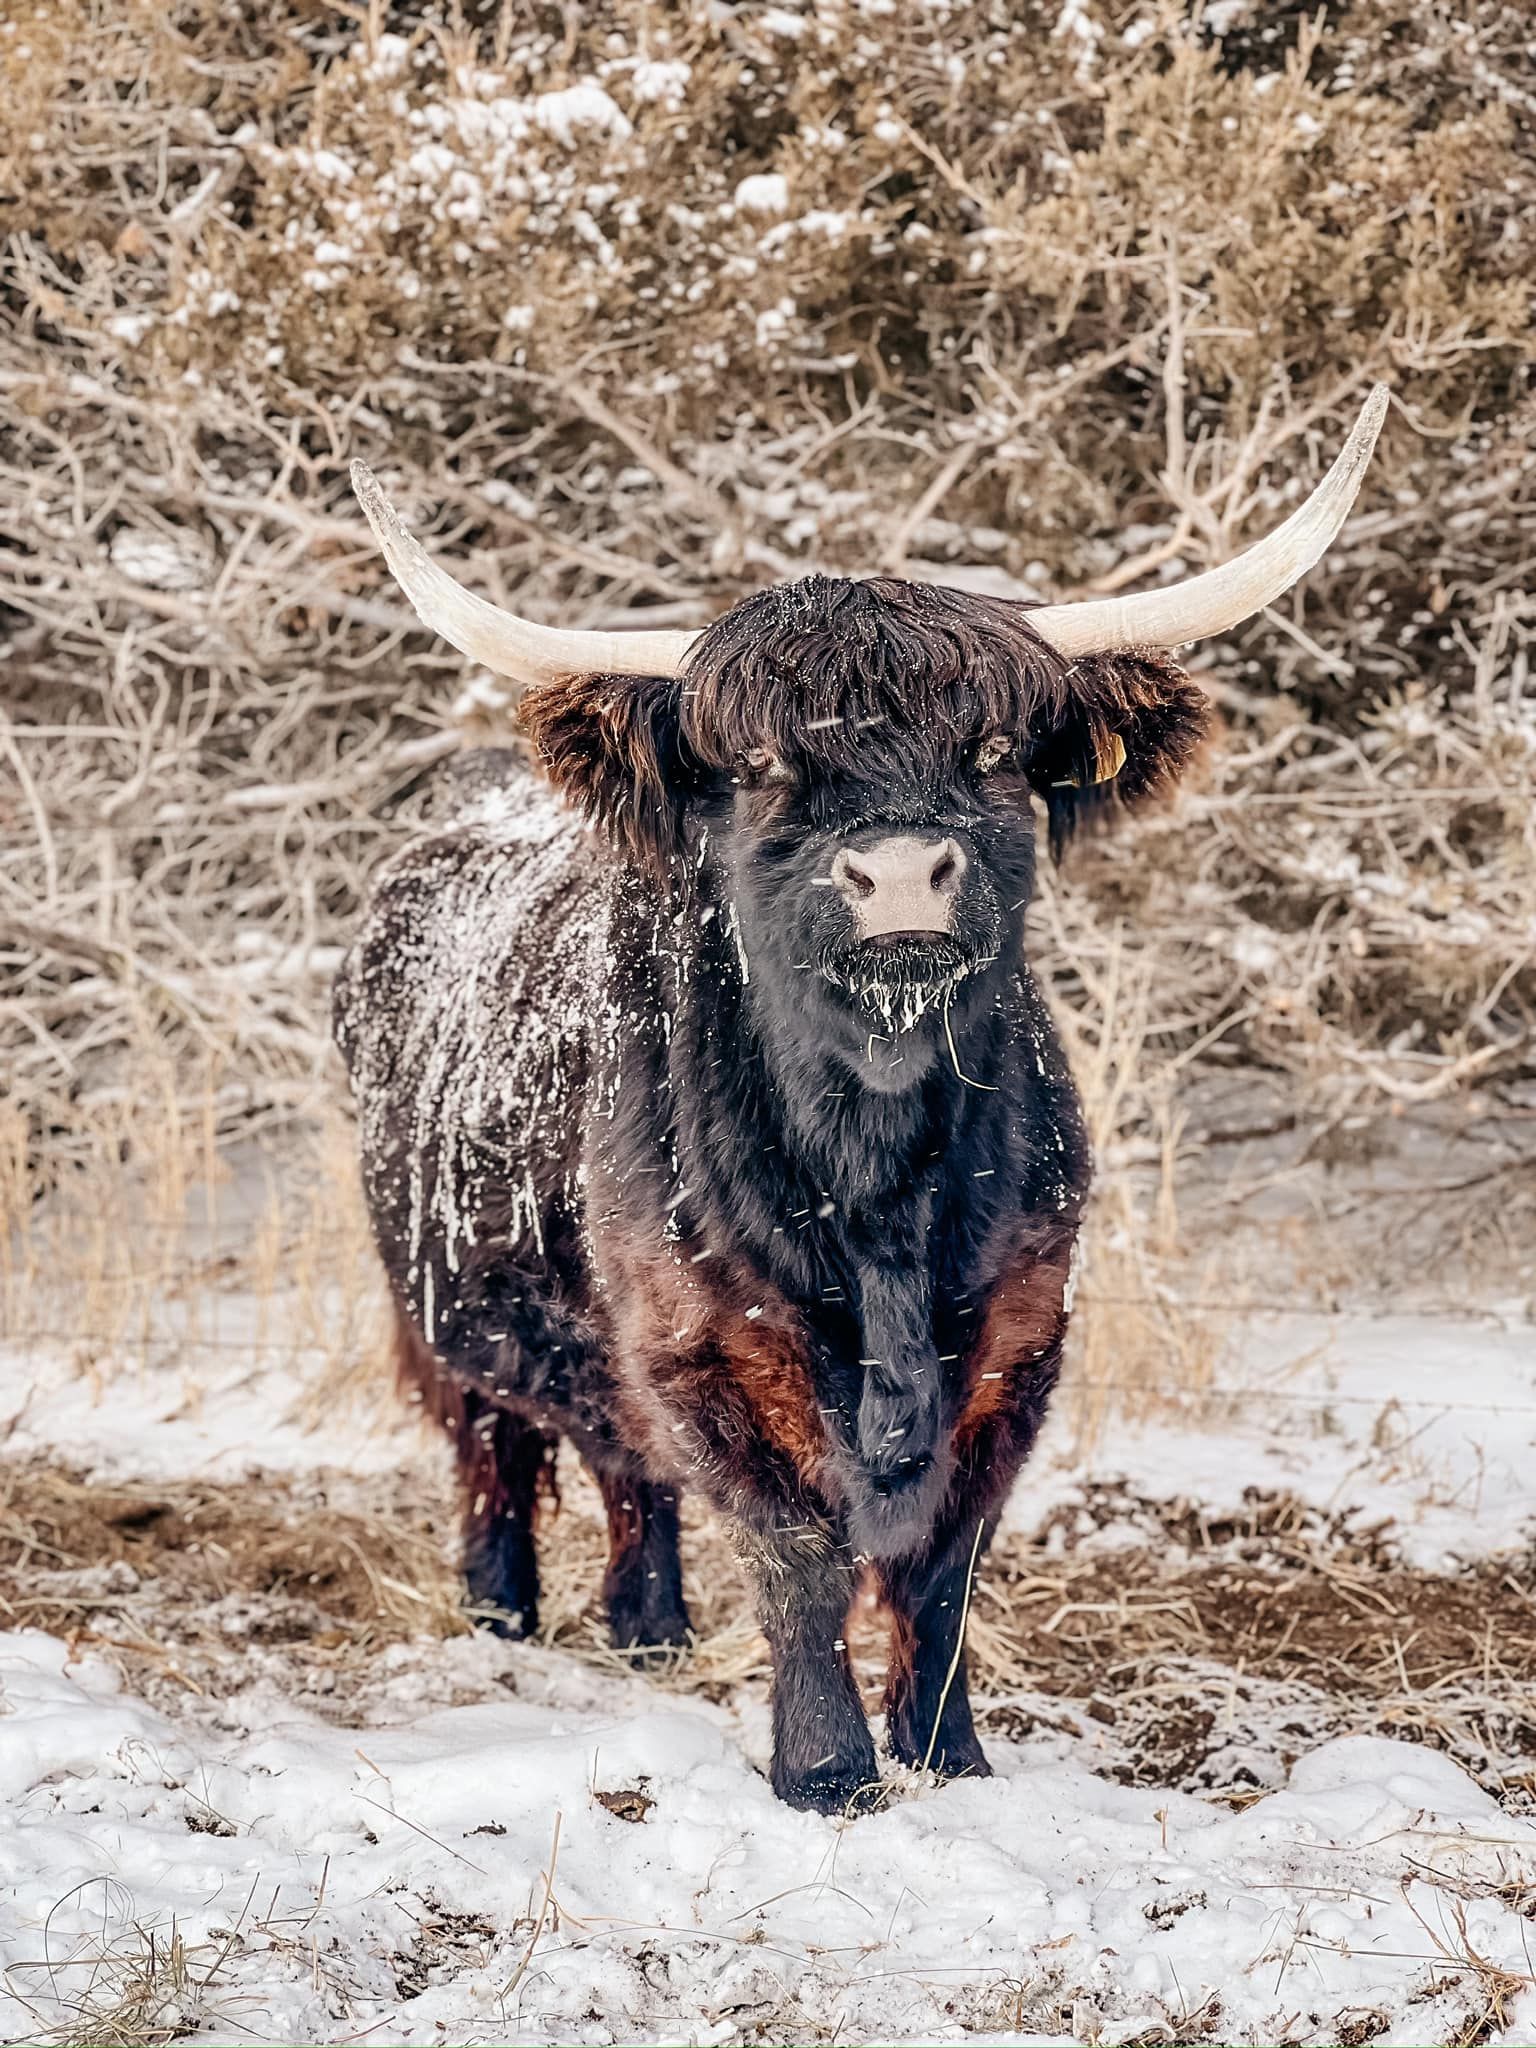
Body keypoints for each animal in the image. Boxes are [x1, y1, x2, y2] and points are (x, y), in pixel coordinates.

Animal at [334, 387, 1386, 1812]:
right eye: (765, 762)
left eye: (991, 748)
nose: (896, 873)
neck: (879, 1169)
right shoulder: (700, 1342)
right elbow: (799, 1554)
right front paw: (828, 1770)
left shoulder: (1020, 1339)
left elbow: (943, 1567)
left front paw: (949, 1754)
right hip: (443, 1297)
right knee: (499, 1448)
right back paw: (503, 1615)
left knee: (621, 1463)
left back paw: (649, 1628)